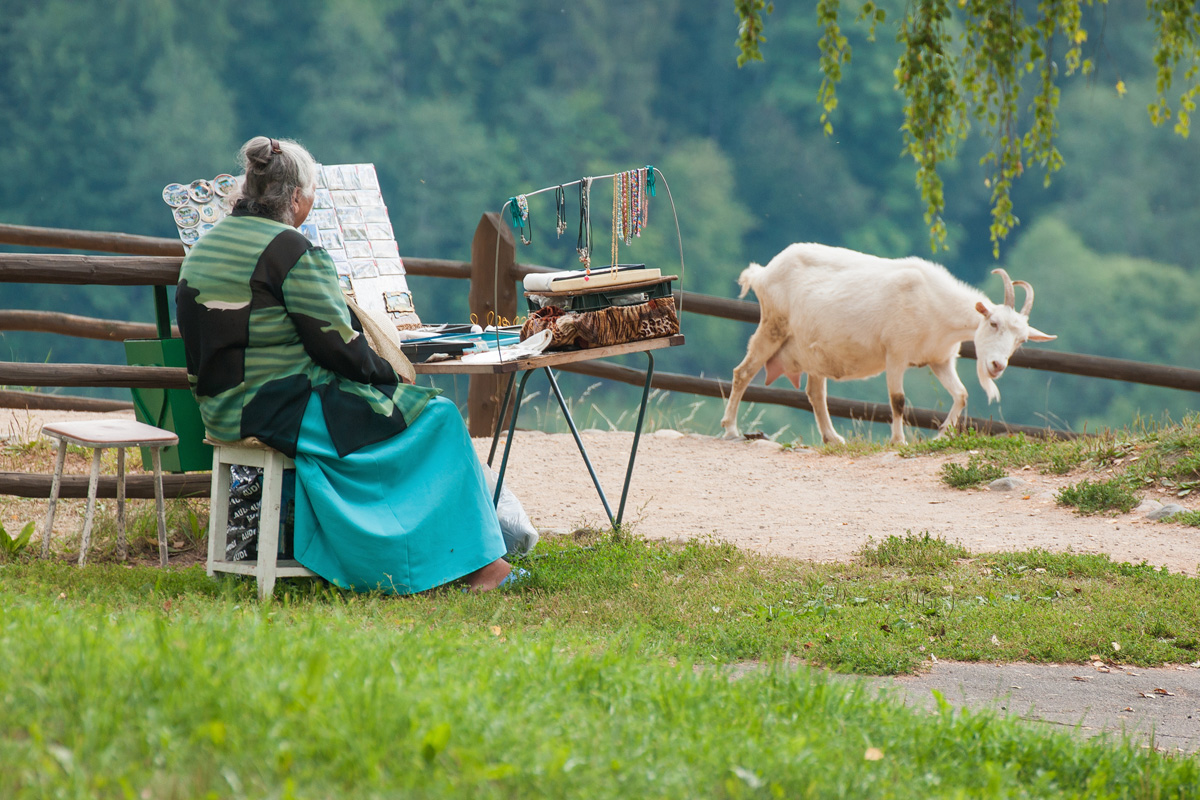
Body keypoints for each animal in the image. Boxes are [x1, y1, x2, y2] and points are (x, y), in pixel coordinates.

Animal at [715, 242, 1056, 443]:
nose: (997, 366)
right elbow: (898, 400)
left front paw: (941, 436)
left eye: (1021, 341)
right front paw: (898, 441)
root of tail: (762, 273)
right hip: (772, 326)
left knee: (815, 392)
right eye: (993, 323)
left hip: (811, 351)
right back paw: (731, 428)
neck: (934, 303)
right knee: (743, 372)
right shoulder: (896, 353)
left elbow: (961, 395)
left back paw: (833, 438)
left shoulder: (939, 359)